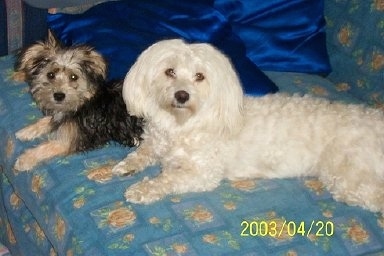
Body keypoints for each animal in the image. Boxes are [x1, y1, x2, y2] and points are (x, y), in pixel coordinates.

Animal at [113, 38, 384, 214]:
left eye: (200, 77)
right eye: (169, 71)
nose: (182, 95)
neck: (181, 124)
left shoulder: (203, 173)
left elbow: (167, 178)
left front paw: (142, 189)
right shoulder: (156, 142)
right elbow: (143, 153)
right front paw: (126, 166)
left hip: (347, 174)